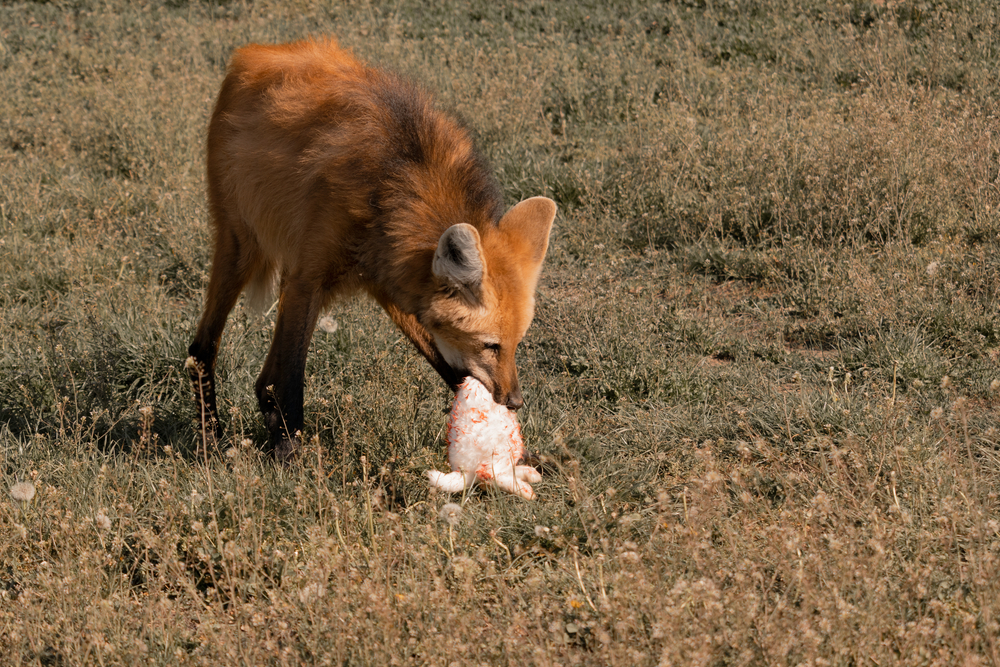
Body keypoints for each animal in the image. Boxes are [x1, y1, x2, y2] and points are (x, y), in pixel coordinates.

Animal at [186, 39, 556, 462]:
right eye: (490, 345)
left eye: (516, 345)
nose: (514, 400)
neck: (394, 184)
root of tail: (254, 52)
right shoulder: (309, 278)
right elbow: (291, 379)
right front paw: (294, 461)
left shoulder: (393, 280)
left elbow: (455, 371)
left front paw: (515, 452)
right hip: (241, 248)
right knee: (202, 350)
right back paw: (212, 440)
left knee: (261, 378)